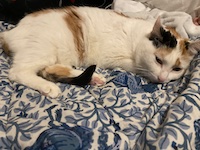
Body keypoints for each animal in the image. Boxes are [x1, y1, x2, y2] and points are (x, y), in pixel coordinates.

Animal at [0, 6, 200, 98]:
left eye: (176, 69)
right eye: (158, 60)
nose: (162, 79)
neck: (137, 38)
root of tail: (11, 32)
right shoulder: (120, 59)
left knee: (51, 69)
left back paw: (94, 78)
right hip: (43, 49)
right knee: (18, 72)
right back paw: (49, 87)